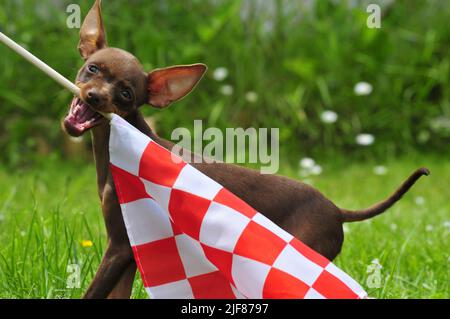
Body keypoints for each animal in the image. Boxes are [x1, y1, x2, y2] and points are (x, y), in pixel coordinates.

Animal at [62, 0, 428, 300]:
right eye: (92, 68)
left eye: (125, 94)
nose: (94, 96)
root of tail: (337, 210)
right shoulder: (126, 251)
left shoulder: (120, 247)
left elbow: (93, 293)